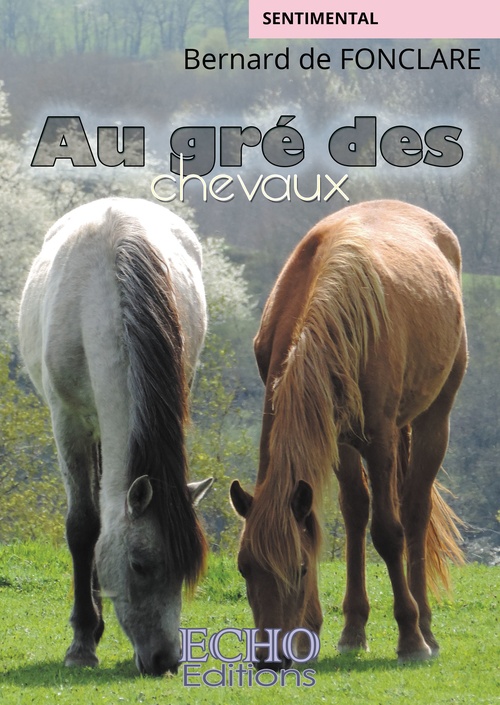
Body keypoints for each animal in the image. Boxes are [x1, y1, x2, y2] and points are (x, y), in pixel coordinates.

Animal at [19, 197, 213, 676]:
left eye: (186, 570)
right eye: (140, 566)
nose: (165, 661)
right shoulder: (68, 421)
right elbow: (83, 527)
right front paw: (82, 643)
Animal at [231, 200, 467, 668]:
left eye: (300, 570)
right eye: (245, 567)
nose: (269, 658)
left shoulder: (379, 438)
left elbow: (388, 533)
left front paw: (410, 637)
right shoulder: (336, 435)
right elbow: (344, 516)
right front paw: (328, 632)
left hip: (434, 419)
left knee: (414, 511)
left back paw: (426, 627)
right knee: (358, 512)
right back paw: (355, 627)